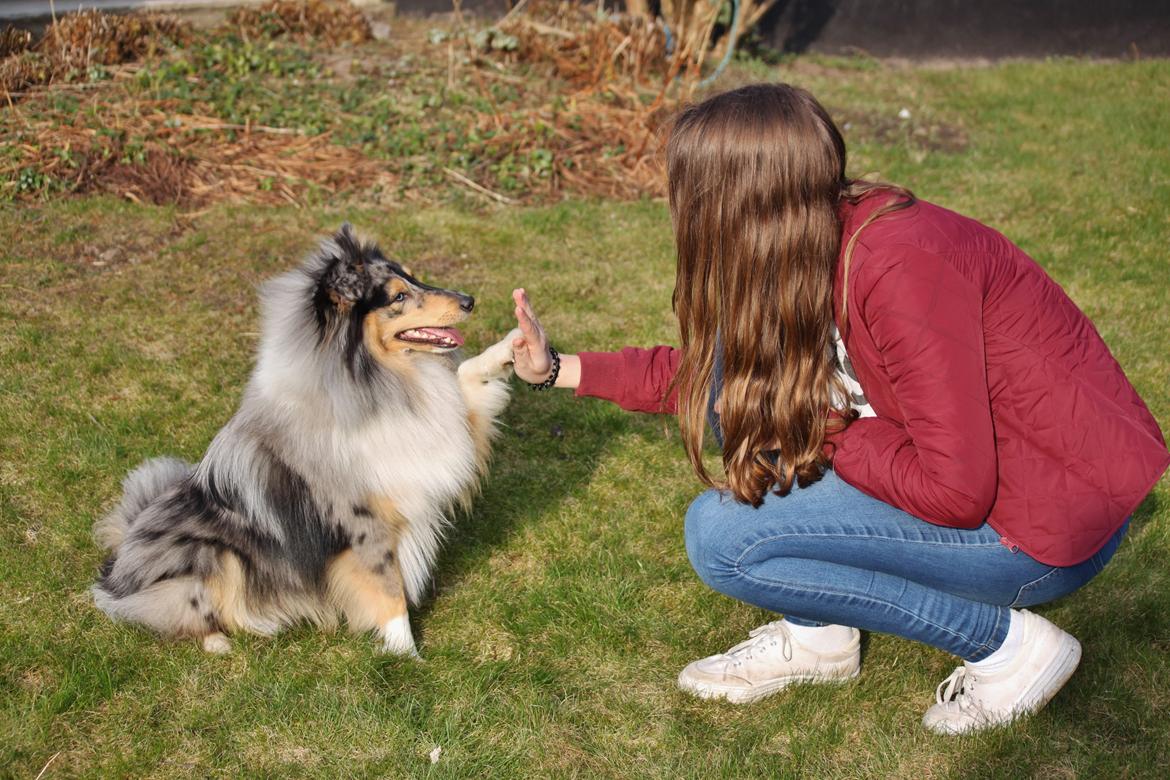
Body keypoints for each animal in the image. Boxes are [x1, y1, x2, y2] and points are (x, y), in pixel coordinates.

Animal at [95, 226, 521, 659]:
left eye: (416, 278)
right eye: (398, 297)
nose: (470, 300)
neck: (378, 381)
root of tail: (120, 561)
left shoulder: (442, 431)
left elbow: (467, 379)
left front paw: (510, 346)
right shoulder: (364, 522)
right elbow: (390, 595)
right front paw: (407, 657)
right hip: (212, 555)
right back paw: (224, 639)